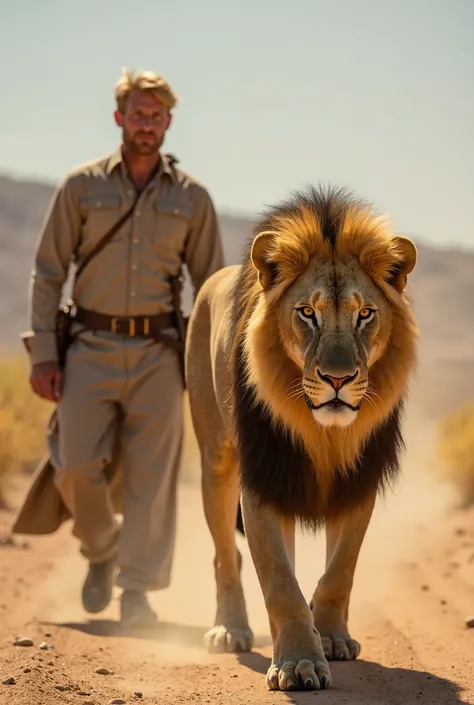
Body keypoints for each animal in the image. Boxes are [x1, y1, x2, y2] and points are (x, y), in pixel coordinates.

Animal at [185, 184, 418, 692]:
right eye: (307, 313)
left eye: (365, 314)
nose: (338, 378)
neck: (323, 432)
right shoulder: (263, 475)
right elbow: (279, 581)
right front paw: (297, 663)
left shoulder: (359, 479)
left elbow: (339, 571)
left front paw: (330, 638)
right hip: (217, 457)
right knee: (225, 556)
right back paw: (229, 630)